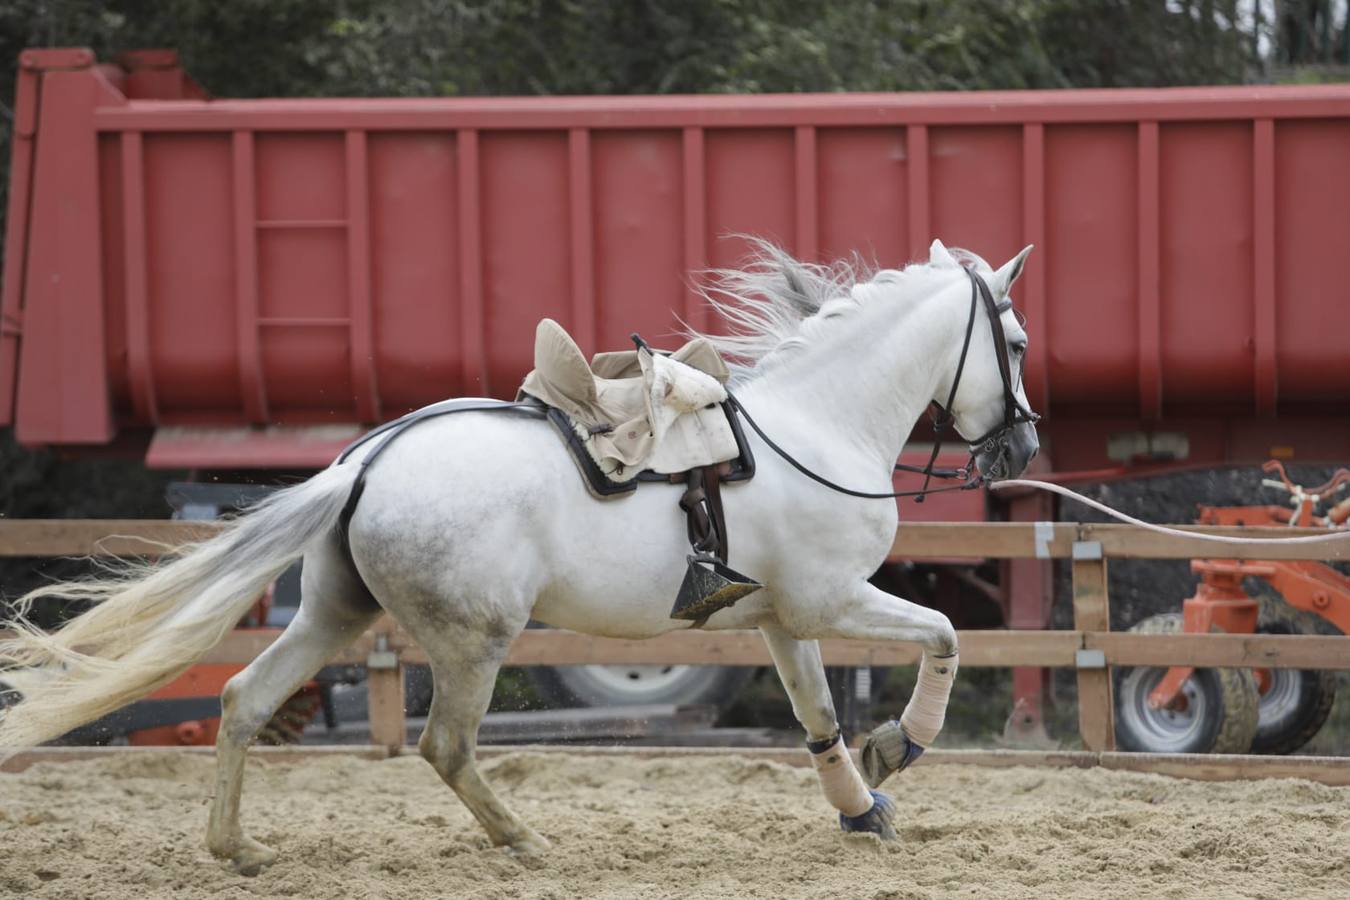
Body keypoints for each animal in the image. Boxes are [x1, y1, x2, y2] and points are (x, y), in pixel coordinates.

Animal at [0, 238, 1039, 874]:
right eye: (1019, 343)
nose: (1021, 449)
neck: (815, 426)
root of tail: (366, 460)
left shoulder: (781, 618)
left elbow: (818, 715)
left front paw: (861, 808)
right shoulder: (832, 600)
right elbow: (944, 636)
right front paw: (900, 745)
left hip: (334, 614)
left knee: (242, 700)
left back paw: (237, 850)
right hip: (476, 639)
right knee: (445, 745)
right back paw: (527, 841)